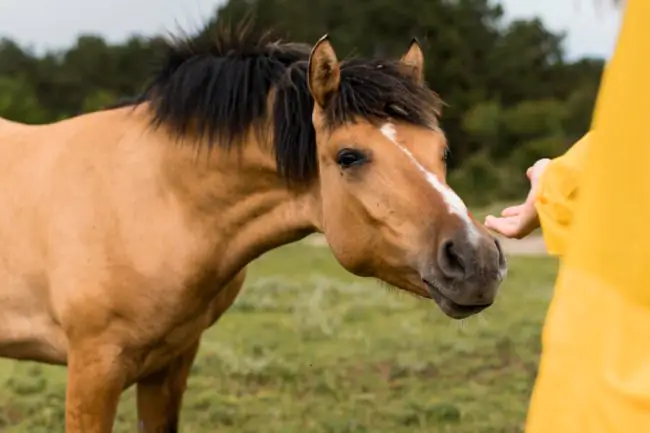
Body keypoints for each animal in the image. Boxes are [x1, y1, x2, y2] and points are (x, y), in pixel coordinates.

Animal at [0, 24, 506, 432]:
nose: (477, 261)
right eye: (348, 156)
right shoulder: (94, 368)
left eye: (442, 150)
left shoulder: (170, 363)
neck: (155, 196)